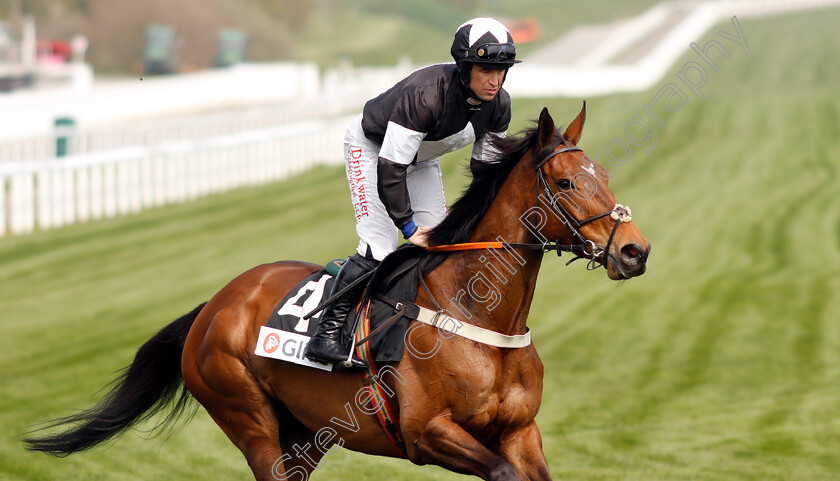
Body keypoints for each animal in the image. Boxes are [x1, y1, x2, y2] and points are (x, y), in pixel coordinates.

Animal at [26, 105, 648, 480]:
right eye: (566, 182)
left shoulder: (520, 431)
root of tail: (215, 305)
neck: (477, 314)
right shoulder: (428, 432)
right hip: (248, 417)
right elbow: (498, 470)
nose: (634, 251)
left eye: (605, 178)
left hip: (307, 432)